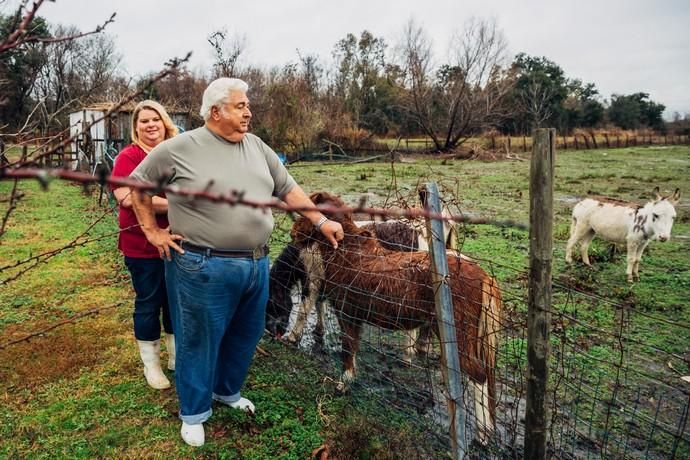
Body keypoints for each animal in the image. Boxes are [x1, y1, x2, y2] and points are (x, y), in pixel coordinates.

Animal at [288, 190, 500, 442]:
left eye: (306, 211)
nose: (293, 233)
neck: (349, 253)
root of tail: (482, 275)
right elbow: (352, 347)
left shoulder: (347, 314)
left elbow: (347, 347)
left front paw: (344, 382)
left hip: (461, 337)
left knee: (478, 376)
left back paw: (482, 433)